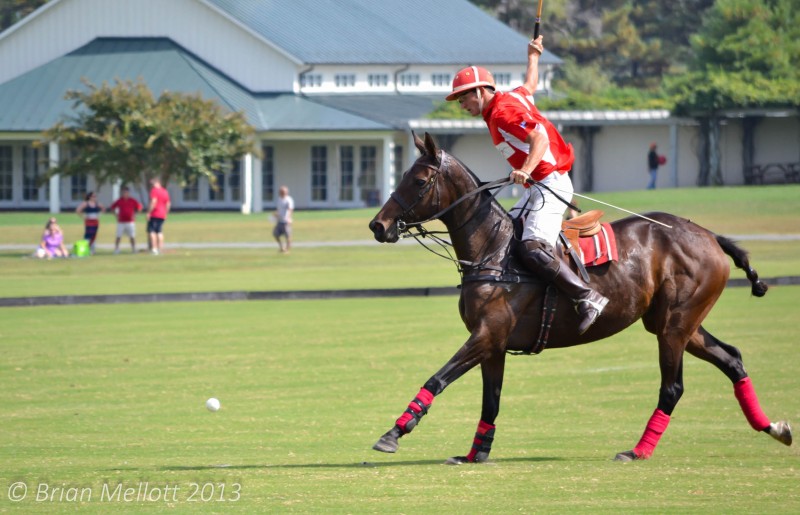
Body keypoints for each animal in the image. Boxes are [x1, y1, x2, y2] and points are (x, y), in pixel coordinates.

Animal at [368, 132, 792, 464]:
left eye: (419, 180)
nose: (378, 225)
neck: (492, 250)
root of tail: (710, 236)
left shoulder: (488, 333)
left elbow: (438, 377)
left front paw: (393, 433)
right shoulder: (495, 343)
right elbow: (491, 400)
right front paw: (476, 453)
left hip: (674, 325)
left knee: (673, 387)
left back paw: (638, 450)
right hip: (677, 322)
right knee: (732, 359)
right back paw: (774, 427)